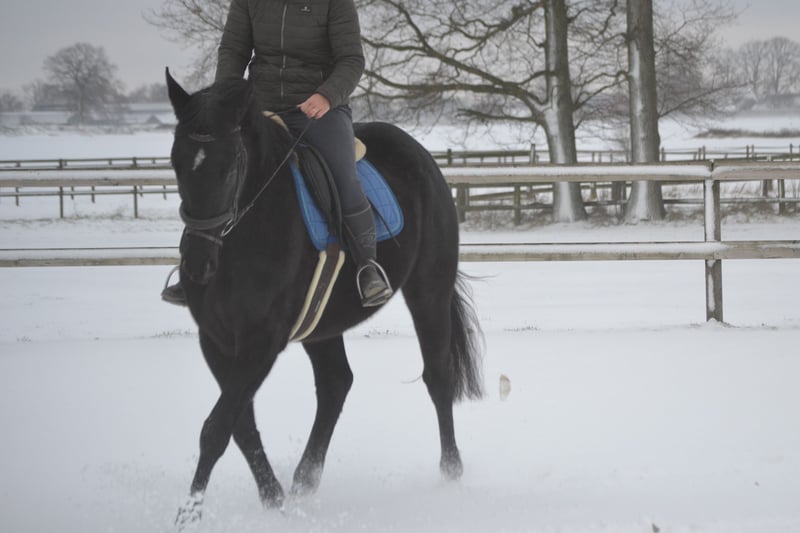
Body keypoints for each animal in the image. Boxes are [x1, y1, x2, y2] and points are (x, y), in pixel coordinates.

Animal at [165, 70, 483, 528]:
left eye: (229, 168)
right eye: (176, 163)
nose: (196, 264)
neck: (243, 235)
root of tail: (422, 156)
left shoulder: (262, 342)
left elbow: (216, 428)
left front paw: (188, 514)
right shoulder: (217, 341)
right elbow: (239, 425)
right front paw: (275, 500)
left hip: (429, 292)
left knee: (438, 378)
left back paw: (450, 475)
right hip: (321, 324)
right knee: (336, 384)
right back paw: (303, 482)